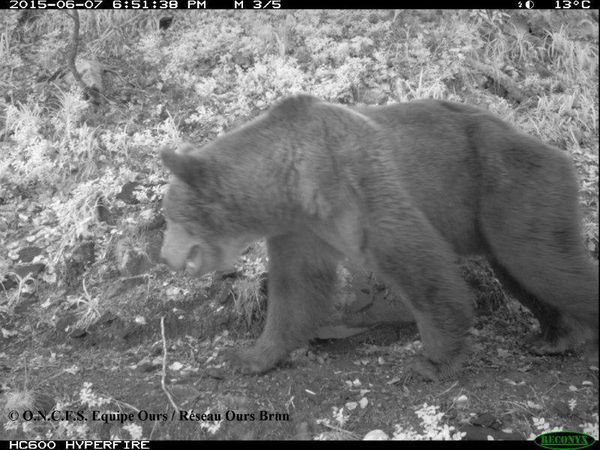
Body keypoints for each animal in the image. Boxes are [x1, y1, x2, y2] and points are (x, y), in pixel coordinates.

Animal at [159, 96, 600, 380]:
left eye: (171, 216)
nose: (165, 256)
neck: (288, 184)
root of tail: (551, 147)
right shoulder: (302, 230)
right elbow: (295, 290)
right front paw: (252, 356)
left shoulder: (358, 186)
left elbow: (419, 264)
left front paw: (432, 362)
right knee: (522, 274)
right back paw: (555, 337)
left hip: (512, 188)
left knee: (545, 265)